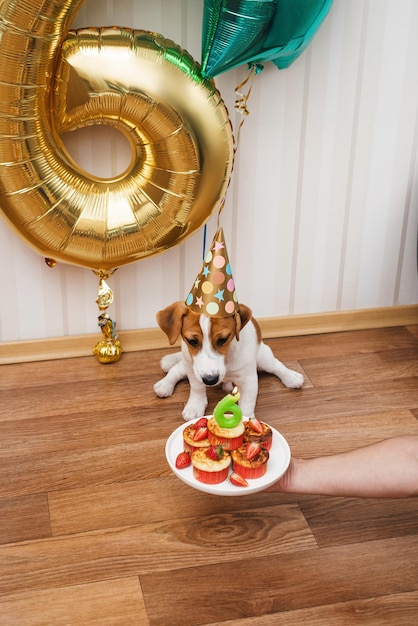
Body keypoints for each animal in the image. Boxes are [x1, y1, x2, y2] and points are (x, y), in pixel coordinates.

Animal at [153, 298, 304, 420]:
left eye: (223, 339)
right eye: (192, 341)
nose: (210, 380)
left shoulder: (248, 380)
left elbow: (247, 405)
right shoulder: (193, 369)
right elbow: (197, 388)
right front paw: (195, 406)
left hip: (263, 359)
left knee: (276, 366)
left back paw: (291, 377)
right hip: (187, 362)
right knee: (176, 369)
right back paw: (165, 384)